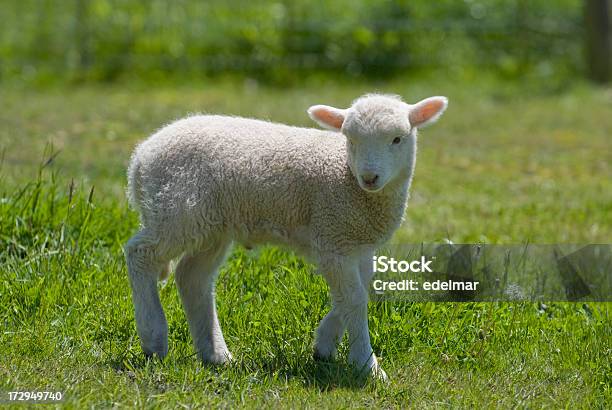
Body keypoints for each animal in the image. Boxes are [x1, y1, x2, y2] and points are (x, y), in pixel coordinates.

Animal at [125, 93, 450, 382]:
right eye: (350, 140)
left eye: (397, 139)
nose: (369, 178)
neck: (348, 179)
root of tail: (139, 159)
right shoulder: (333, 237)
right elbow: (354, 299)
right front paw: (367, 366)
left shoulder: (356, 242)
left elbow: (358, 292)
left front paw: (324, 345)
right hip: (177, 211)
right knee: (140, 254)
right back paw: (153, 337)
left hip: (211, 225)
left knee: (192, 277)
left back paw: (216, 354)